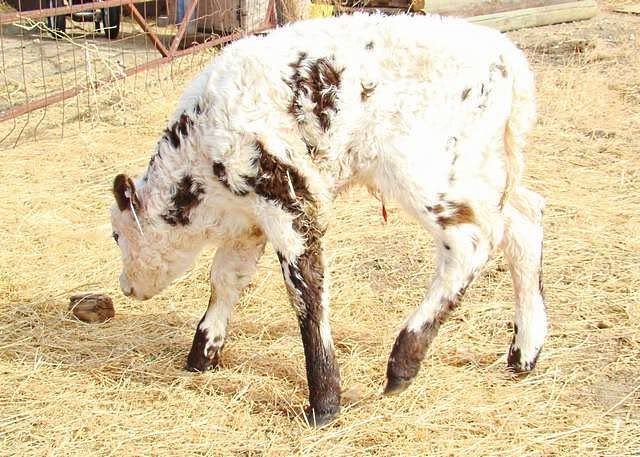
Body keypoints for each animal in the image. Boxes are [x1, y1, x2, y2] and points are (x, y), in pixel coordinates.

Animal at [109, 13, 547, 426]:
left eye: (116, 235)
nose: (125, 286)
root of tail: (505, 54)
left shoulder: (288, 197)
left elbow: (306, 291)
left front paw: (324, 400)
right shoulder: (249, 221)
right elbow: (225, 279)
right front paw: (202, 354)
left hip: (424, 169)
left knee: (471, 240)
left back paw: (403, 363)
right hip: (481, 171)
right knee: (523, 219)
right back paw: (524, 353)